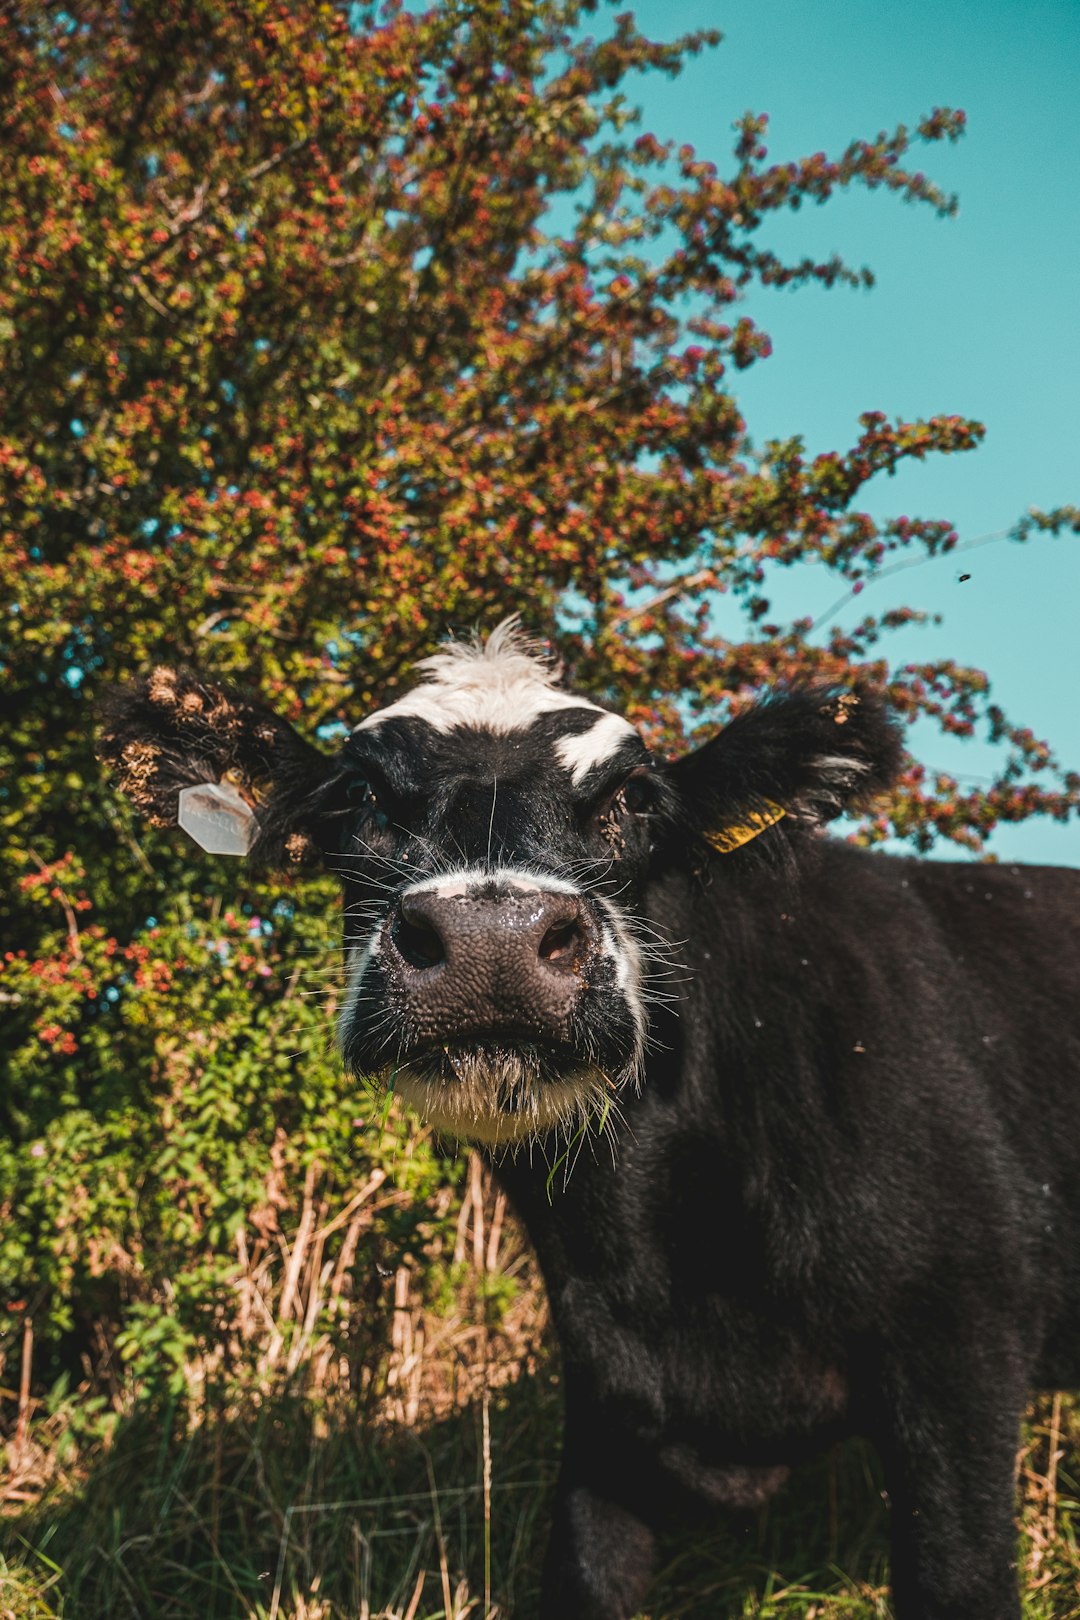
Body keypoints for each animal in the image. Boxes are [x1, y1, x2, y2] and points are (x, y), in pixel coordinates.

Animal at [103, 625, 1080, 1620]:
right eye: (363, 797)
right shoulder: (604, 1391)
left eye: (633, 798)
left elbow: (959, 1577)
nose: (491, 944)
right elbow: (584, 1568)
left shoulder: (960, 1354)